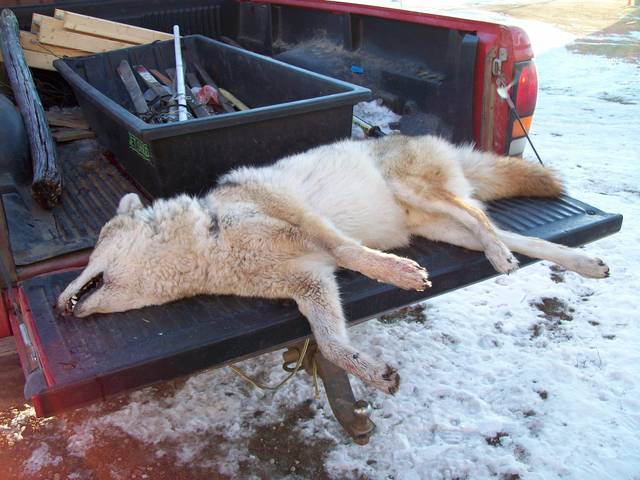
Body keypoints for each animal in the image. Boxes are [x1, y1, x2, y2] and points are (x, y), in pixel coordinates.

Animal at [57, 135, 610, 394]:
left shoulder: (303, 221)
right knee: (513, 235)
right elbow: (329, 344)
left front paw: (398, 273)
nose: (59, 307)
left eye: (93, 248)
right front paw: (374, 374)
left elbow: (350, 253)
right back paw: (582, 262)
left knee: (482, 218)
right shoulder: (311, 283)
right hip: (439, 226)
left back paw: (501, 256)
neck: (210, 241)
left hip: (421, 194)